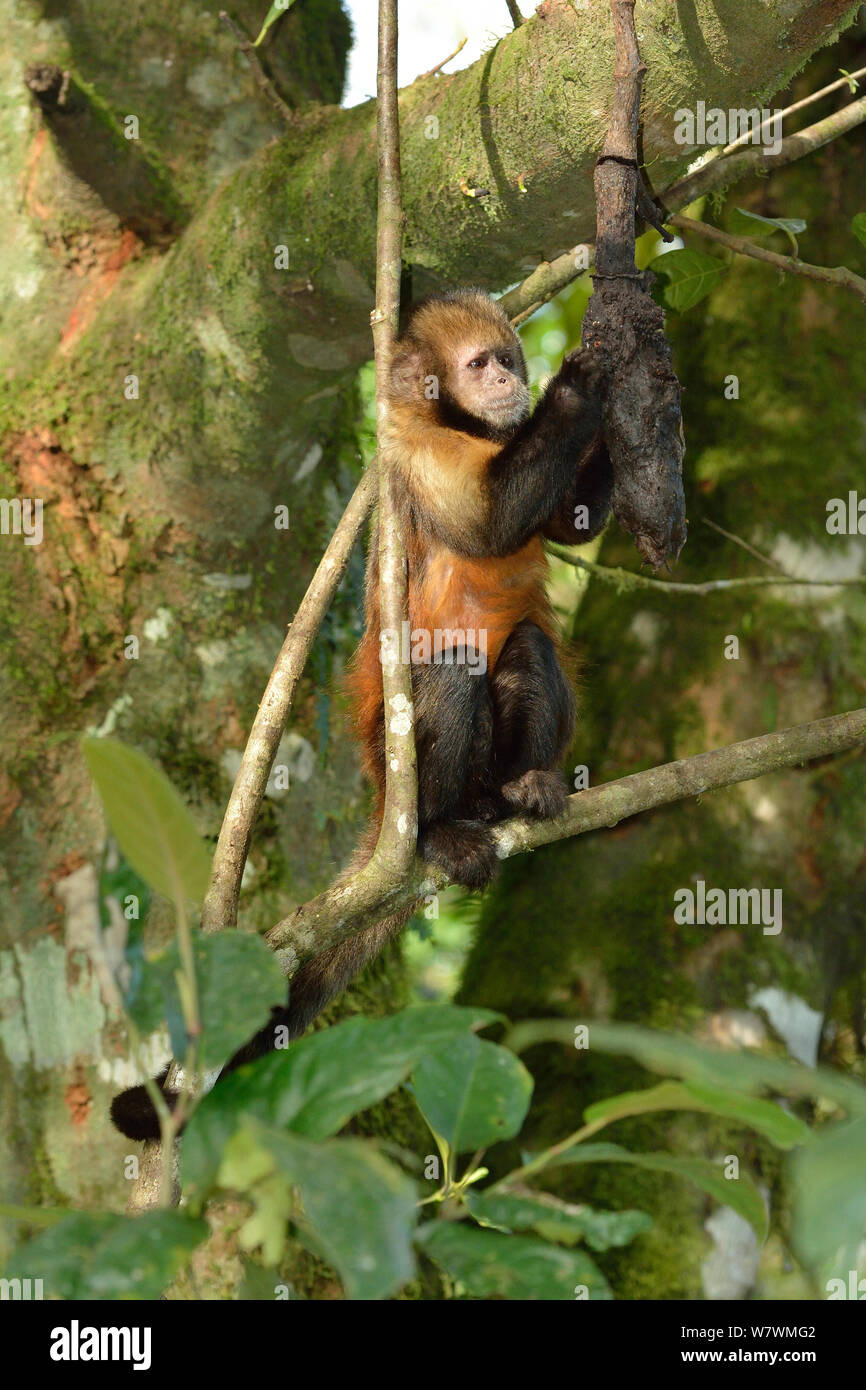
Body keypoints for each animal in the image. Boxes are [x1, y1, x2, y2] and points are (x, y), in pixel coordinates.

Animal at [110, 289, 612, 1142]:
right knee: (451, 668)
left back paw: (522, 792)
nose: (514, 382)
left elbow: (570, 525)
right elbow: (488, 523)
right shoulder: (410, 447)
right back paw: (439, 829)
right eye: (483, 363)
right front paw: (581, 385)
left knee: (530, 650)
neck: (464, 426)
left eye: (509, 361)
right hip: (392, 757)